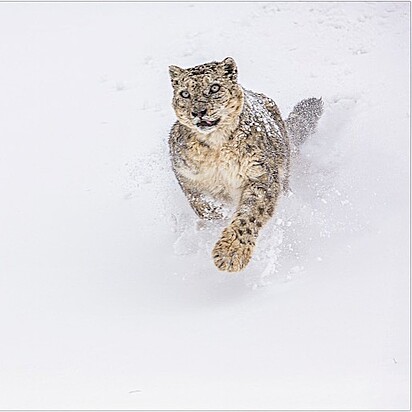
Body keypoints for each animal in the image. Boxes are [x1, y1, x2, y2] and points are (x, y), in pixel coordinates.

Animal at [167, 56, 322, 272]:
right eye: (185, 93)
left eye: (214, 87)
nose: (198, 112)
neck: (216, 147)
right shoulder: (185, 175)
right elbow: (202, 204)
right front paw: (219, 215)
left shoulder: (260, 175)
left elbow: (248, 215)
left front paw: (231, 253)